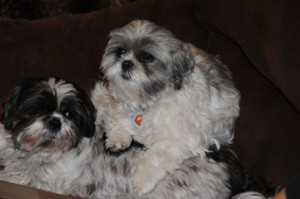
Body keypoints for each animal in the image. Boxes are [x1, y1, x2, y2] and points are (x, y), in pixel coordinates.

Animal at [97, 20, 243, 196]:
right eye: (121, 52)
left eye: (148, 57)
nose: (126, 63)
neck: (148, 102)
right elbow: (118, 117)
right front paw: (118, 135)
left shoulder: (182, 139)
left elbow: (156, 156)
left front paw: (141, 179)